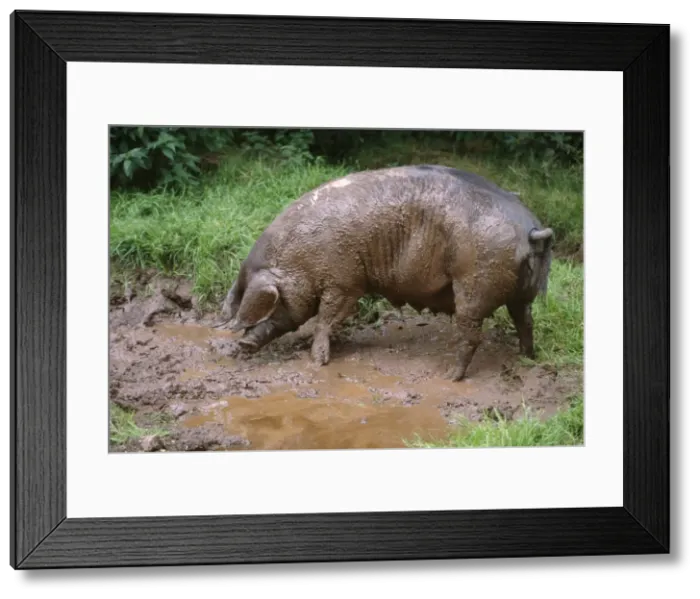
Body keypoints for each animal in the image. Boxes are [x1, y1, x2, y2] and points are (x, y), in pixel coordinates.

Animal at [215, 164, 553, 381]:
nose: (242, 344)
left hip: (474, 285)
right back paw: (527, 358)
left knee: (472, 335)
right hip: (522, 292)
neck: (300, 258)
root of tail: (530, 229)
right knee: (526, 321)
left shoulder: (345, 281)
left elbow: (326, 318)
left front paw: (317, 361)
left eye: (273, 304)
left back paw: (449, 377)